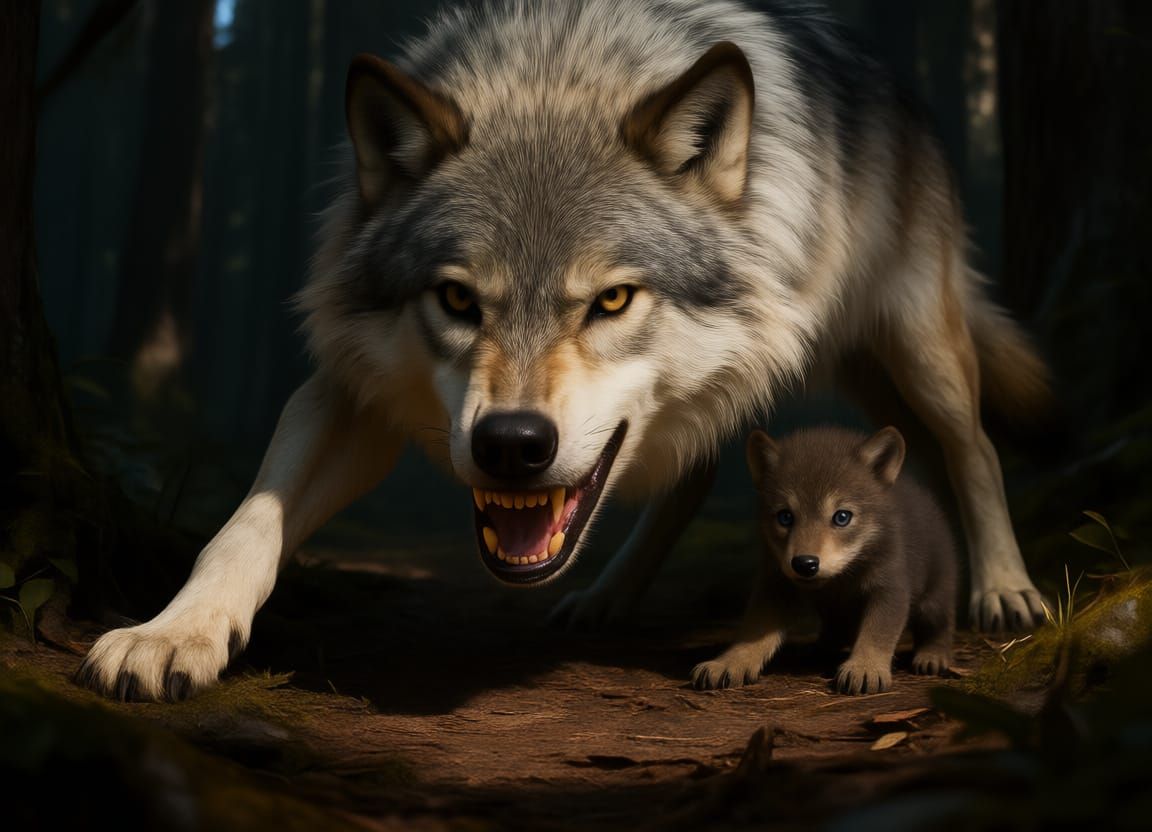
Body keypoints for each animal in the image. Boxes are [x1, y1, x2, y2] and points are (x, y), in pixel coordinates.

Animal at [692, 426, 957, 694]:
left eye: (842, 517)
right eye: (785, 517)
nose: (804, 563)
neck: (841, 579)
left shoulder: (890, 589)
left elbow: (876, 633)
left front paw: (865, 667)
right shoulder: (776, 586)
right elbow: (754, 631)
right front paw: (729, 662)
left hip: (934, 601)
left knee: (941, 626)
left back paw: (932, 655)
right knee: (835, 630)